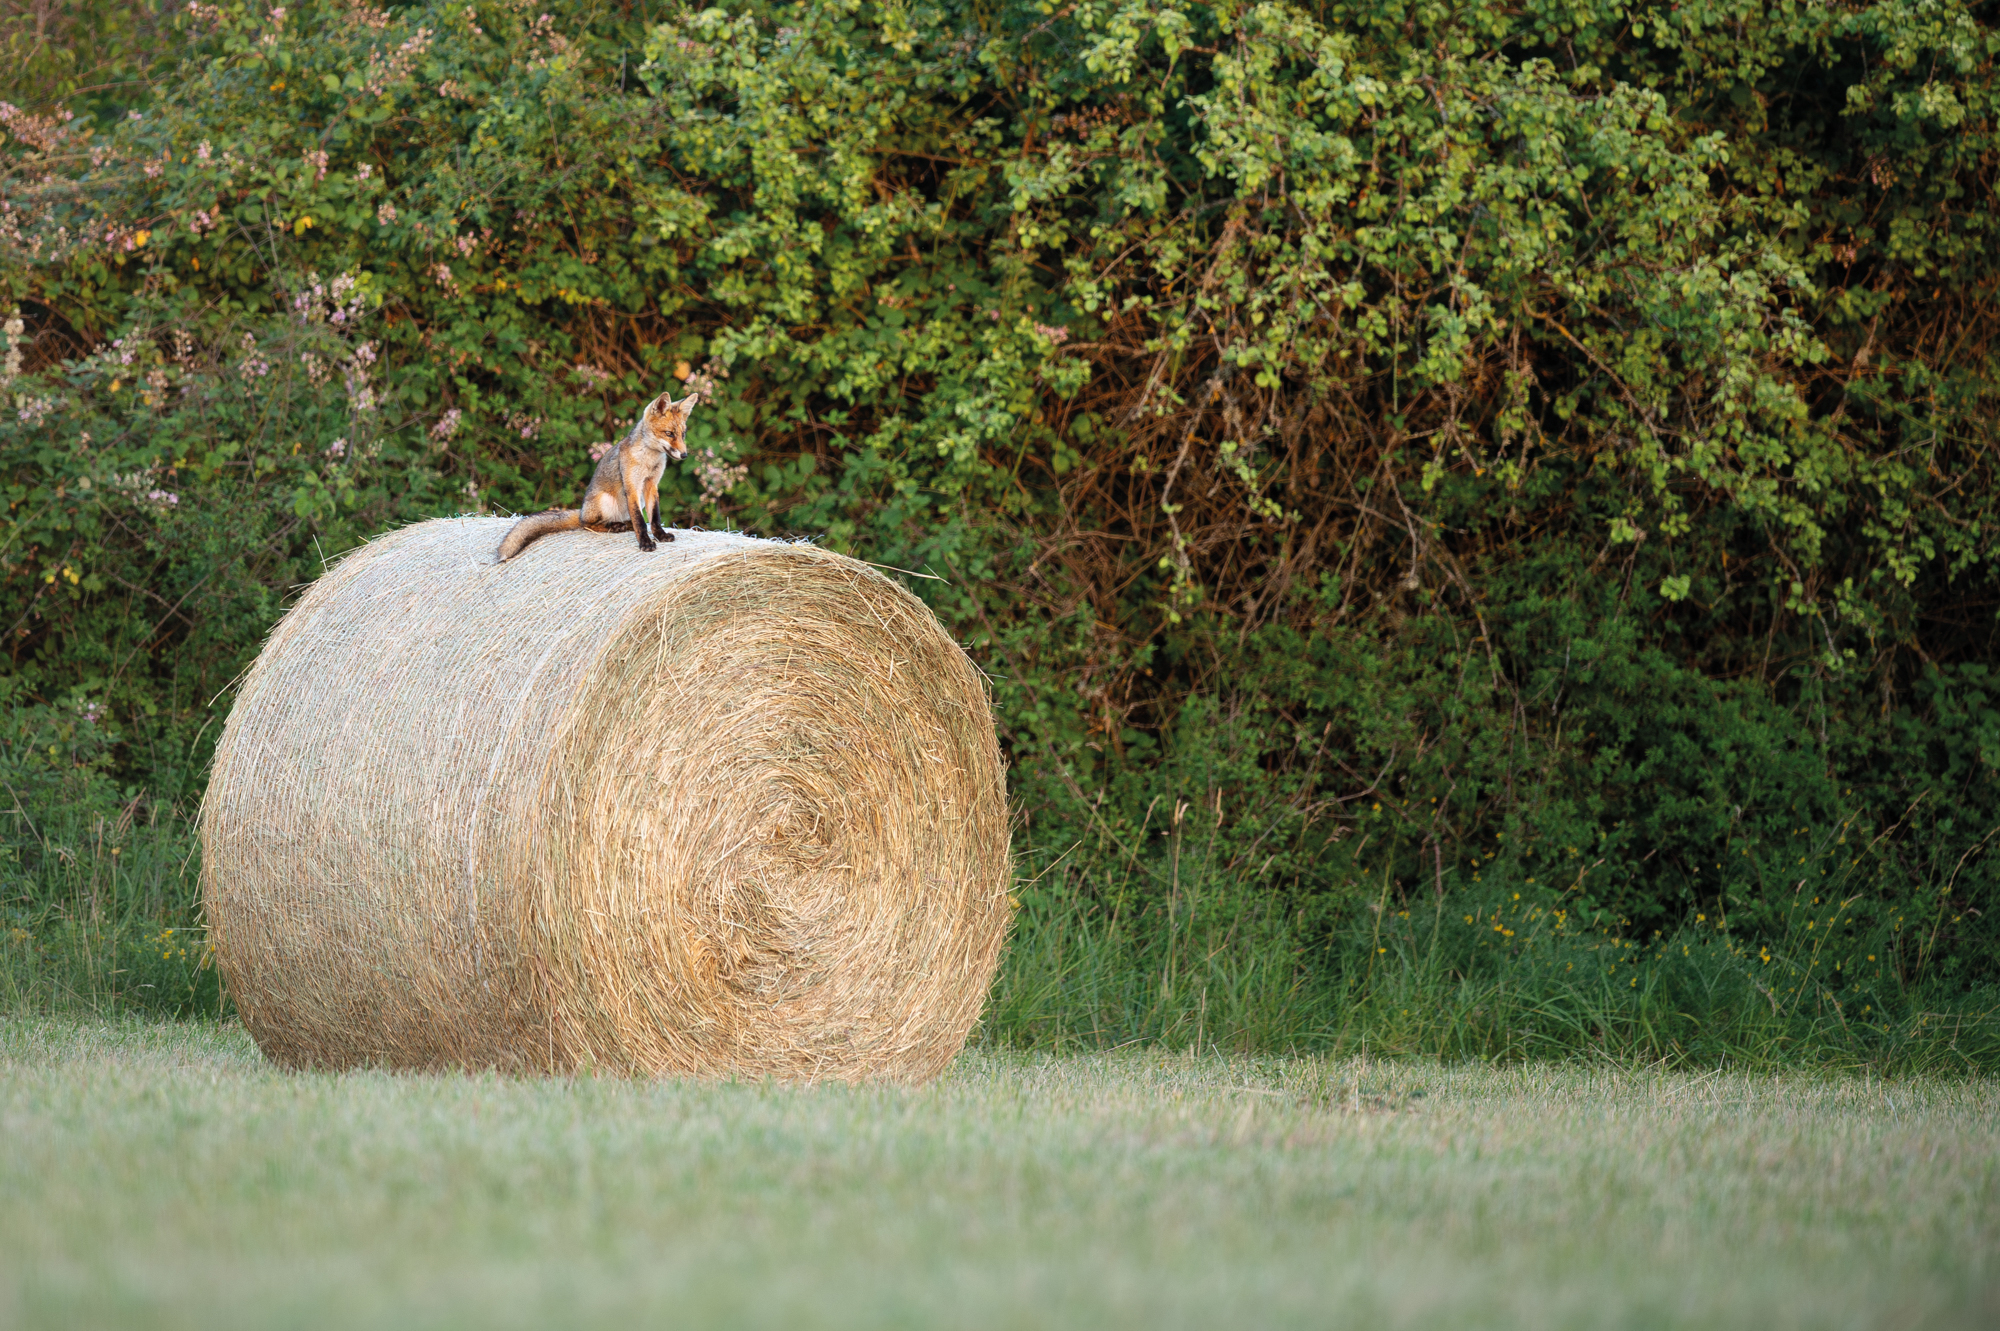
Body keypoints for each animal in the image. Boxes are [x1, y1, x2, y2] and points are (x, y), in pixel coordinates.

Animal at [496, 391, 700, 563]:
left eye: (682, 435)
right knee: (587, 524)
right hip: (604, 502)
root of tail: (581, 510)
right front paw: (645, 543)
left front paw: (660, 535)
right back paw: (613, 526)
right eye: (669, 434)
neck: (649, 460)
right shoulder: (632, 486)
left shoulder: (651, 485)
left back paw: (622, 524)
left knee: (621, 521)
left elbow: (654, 517)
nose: (684, 455)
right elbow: (640, 521)